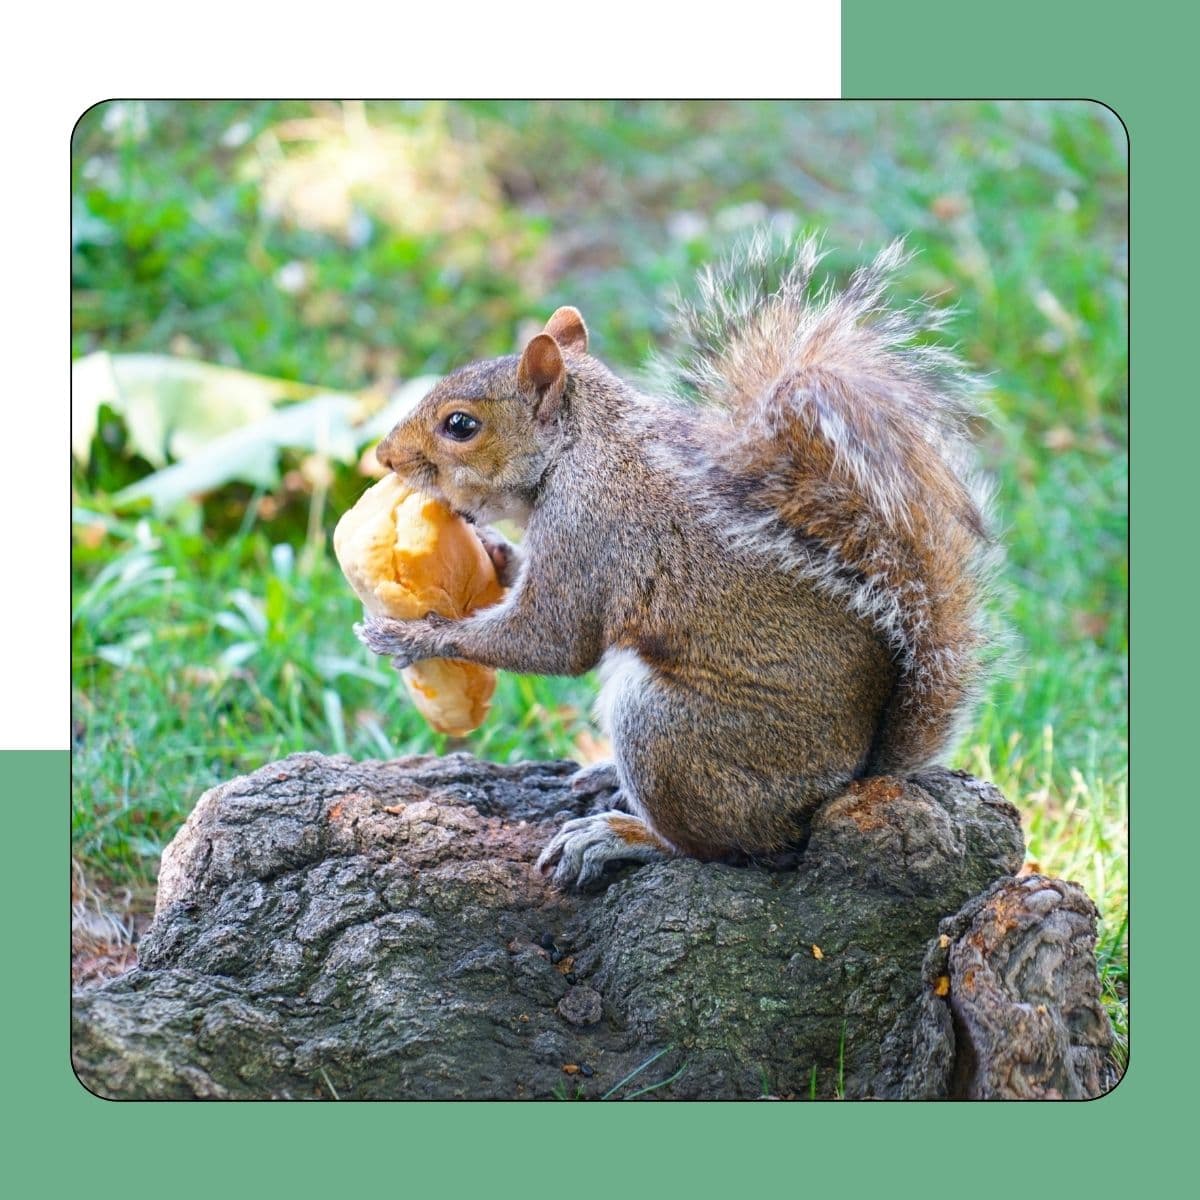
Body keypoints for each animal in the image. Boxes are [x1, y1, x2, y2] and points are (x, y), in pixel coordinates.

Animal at [356, 234, 993, 888]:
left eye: (461, 424)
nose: (384, 457)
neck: (580, 444)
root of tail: (847, 778)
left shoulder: (588, 531)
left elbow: (551, 640)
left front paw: (412, 637)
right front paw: (495, 552)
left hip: (671, 729)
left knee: (719, 848)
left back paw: (622, 835)